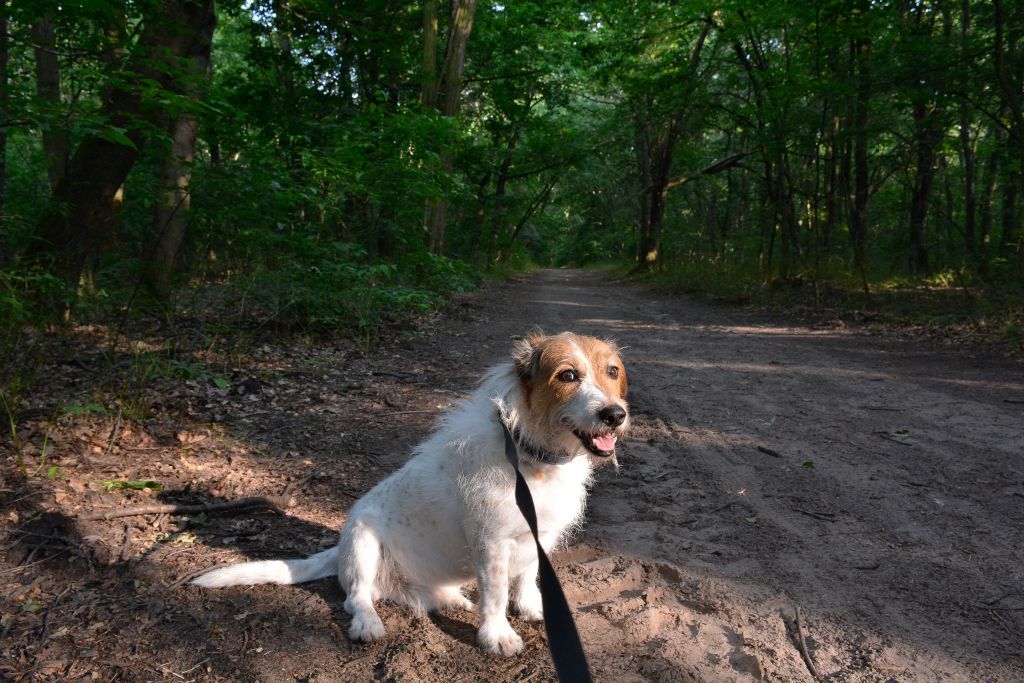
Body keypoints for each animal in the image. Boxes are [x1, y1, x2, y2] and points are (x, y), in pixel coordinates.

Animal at [188, 331, 626, 655]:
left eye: (613, 371)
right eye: (567, 375)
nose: (615, 415)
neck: (529, 455)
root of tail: (337, 552)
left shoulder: (541, 536)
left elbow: (527, 577)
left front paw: (532, 607)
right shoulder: (491, 543)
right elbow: (497, 593)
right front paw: (497, 635)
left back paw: (455, 600)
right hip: (363, 542)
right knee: (356, 597)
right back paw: (368, 624)